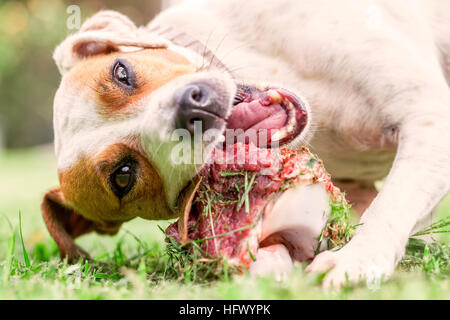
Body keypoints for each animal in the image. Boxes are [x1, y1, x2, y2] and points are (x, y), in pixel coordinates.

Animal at [43, 0, 450, 288]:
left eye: (121, 72)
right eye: (123, 176)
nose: (192, 106)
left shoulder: (428, 110)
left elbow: (389, 207)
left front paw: (357, 259)